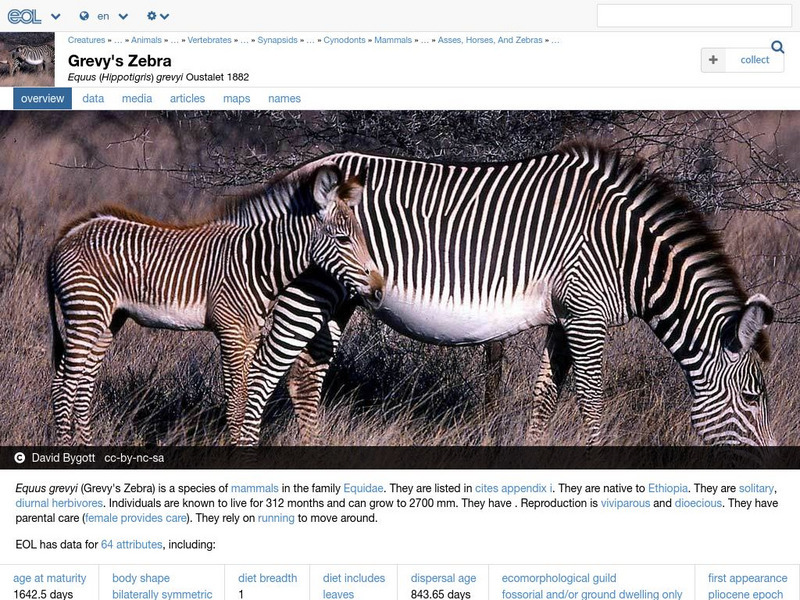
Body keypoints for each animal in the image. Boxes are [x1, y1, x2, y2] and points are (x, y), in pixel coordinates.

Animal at [47, 162, 384, 445]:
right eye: (343, 239)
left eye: (363, 236)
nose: (379, 289)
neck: (258, 264)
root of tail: (67, 235)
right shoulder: (231, 334)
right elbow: (236, 404)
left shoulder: (249, 336)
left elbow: (248, 397)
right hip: (86, 311)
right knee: (63, 383)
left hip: (108, 319)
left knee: (83, 383)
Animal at [236, 143, 775, 447]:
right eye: (752, 398)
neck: (626, 250)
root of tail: (296, 174)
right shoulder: (586, 314)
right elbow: (592, 404)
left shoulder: (566, 316)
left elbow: (545, 400)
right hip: (312, 285)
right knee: (261, 374)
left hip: (339, 295)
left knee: (304, 378)